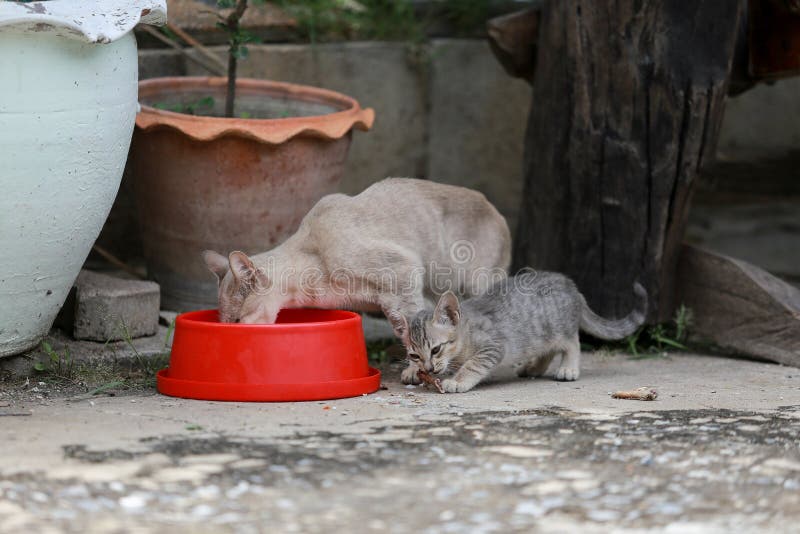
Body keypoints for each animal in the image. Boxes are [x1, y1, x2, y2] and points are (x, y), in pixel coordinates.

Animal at [203, 179, 510, 326]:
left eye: (238, 320)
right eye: (226, 322)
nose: (233, 332)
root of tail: (499, 213)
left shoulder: (404, 272)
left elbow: (415, 330)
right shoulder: (391, 301)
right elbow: (407, 326)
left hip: (475, 283)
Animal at [390, 272, 648, 394]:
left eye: (436, 349)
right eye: (414, 355)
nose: (428, 368)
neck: (465, 334)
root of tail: (570, 285)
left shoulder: (494, 345)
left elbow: (473, 364)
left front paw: (458, 381)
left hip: (560, 328)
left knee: (572, 344)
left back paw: (568, 368)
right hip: (541, 334)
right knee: (547, 350)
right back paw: (534, 368)